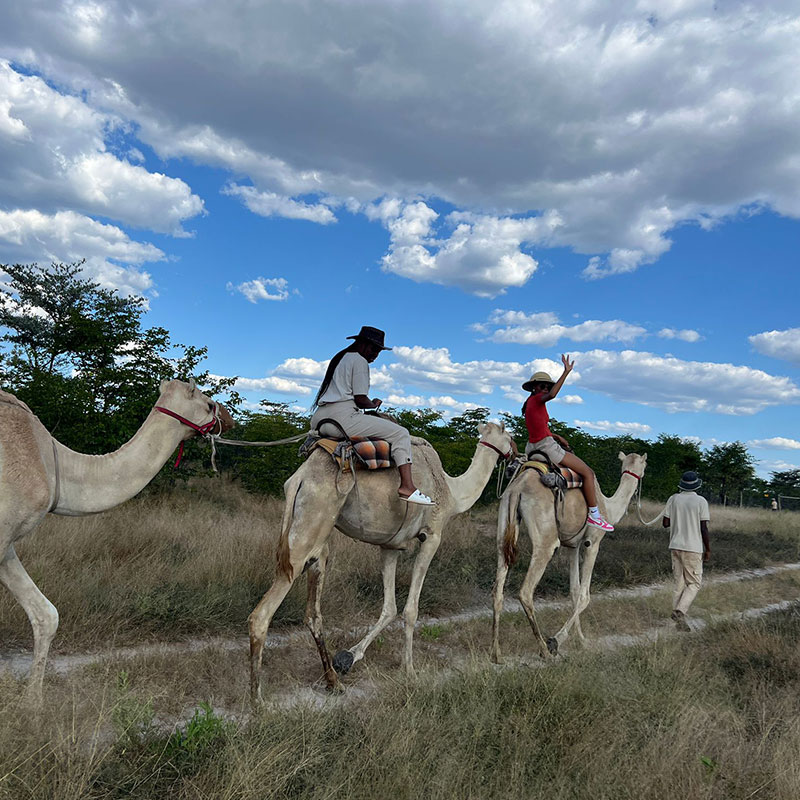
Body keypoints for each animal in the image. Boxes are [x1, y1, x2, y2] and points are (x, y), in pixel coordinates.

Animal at [0, 379, 234, 699]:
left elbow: (47, 615)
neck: (52, 464)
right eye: (209, 404)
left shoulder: (7, 542)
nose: (230, 419)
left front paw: (33, 701)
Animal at [248, 422, 515, 702]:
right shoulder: (432, 536)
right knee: (262, 615)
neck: (452, 493)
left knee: (312, 612)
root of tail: (299, 479)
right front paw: (410, 670)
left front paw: (348, 657)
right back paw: (258, 700)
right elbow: (410, 609)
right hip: (308, 527)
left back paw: (333, 682)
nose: (515, 455)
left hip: (316, 539)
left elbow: (390, 608)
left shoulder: (390, 547)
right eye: (509, 436)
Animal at [491, 450, 647, 663]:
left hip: (505, 523)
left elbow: (574, 592)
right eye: (645, 464)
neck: (608, 507)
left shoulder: (573, 546)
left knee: (498, 589)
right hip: (546, 539)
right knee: (526, 591)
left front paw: (581, 641)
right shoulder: (592, 542)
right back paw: (544, 650)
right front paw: (556, 641)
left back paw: (496, 654)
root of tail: (518, 488)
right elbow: (584, 596)